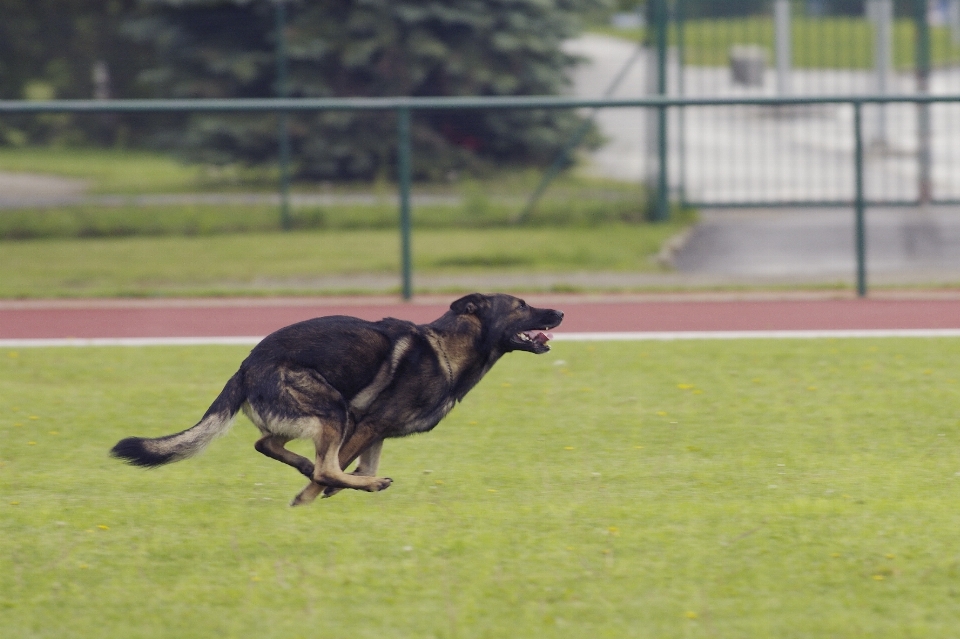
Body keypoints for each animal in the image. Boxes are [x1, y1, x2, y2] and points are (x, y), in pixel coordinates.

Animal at [109, 292, 564, 508]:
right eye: (521, 305)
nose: (559, 313)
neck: (448, 349)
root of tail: (246, 366)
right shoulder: (367, 425)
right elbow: (336, 471)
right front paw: (305, 502)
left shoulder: (376, 432)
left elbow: (357, 464)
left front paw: (337, 488)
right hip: (332, 409)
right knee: (323, 465)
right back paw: (349, 482)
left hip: (318, 416)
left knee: (268, 443)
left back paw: (319, 470)